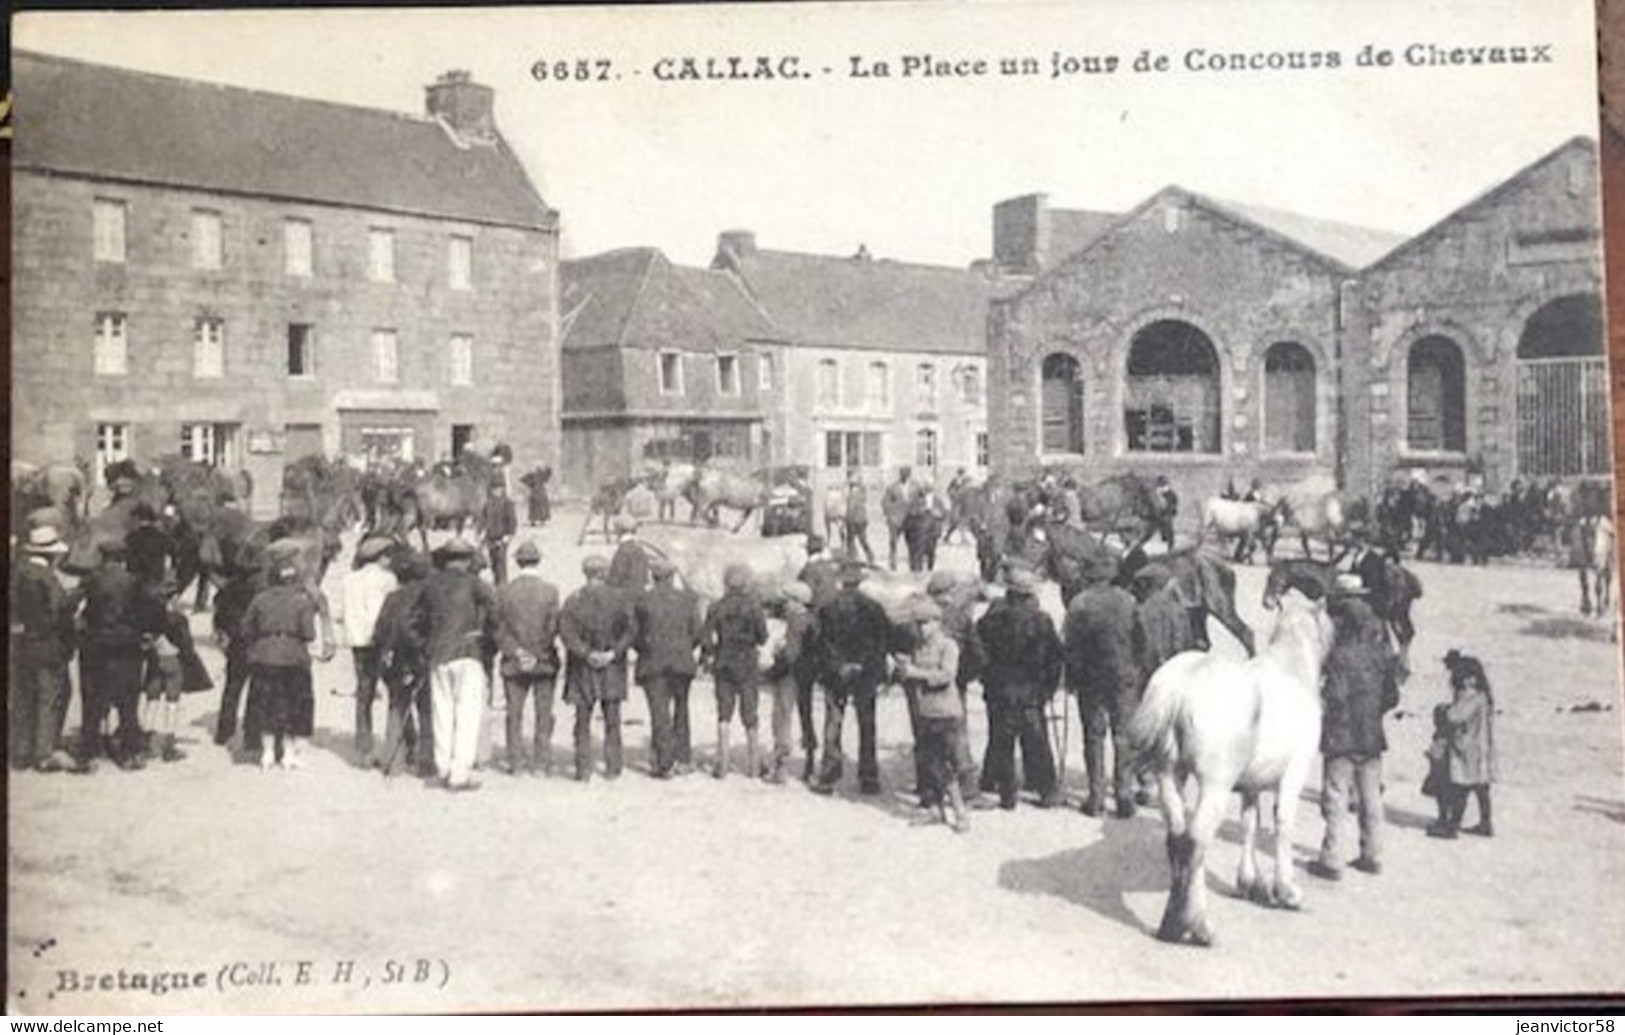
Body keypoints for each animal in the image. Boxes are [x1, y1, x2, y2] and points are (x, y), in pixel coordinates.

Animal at [1124, 588, 1339, 942]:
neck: (1289, 671)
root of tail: (1180, 688)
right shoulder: (1292, 776)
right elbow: (1283, 824)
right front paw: (1287, 892)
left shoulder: (1250, 785)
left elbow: (1249, 824)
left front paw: (1250, 883)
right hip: (1214, 786)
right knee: (1196, 842)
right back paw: (1200, 928)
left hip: (1170, 775)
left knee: (1177, 839)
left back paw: (1172, 924)